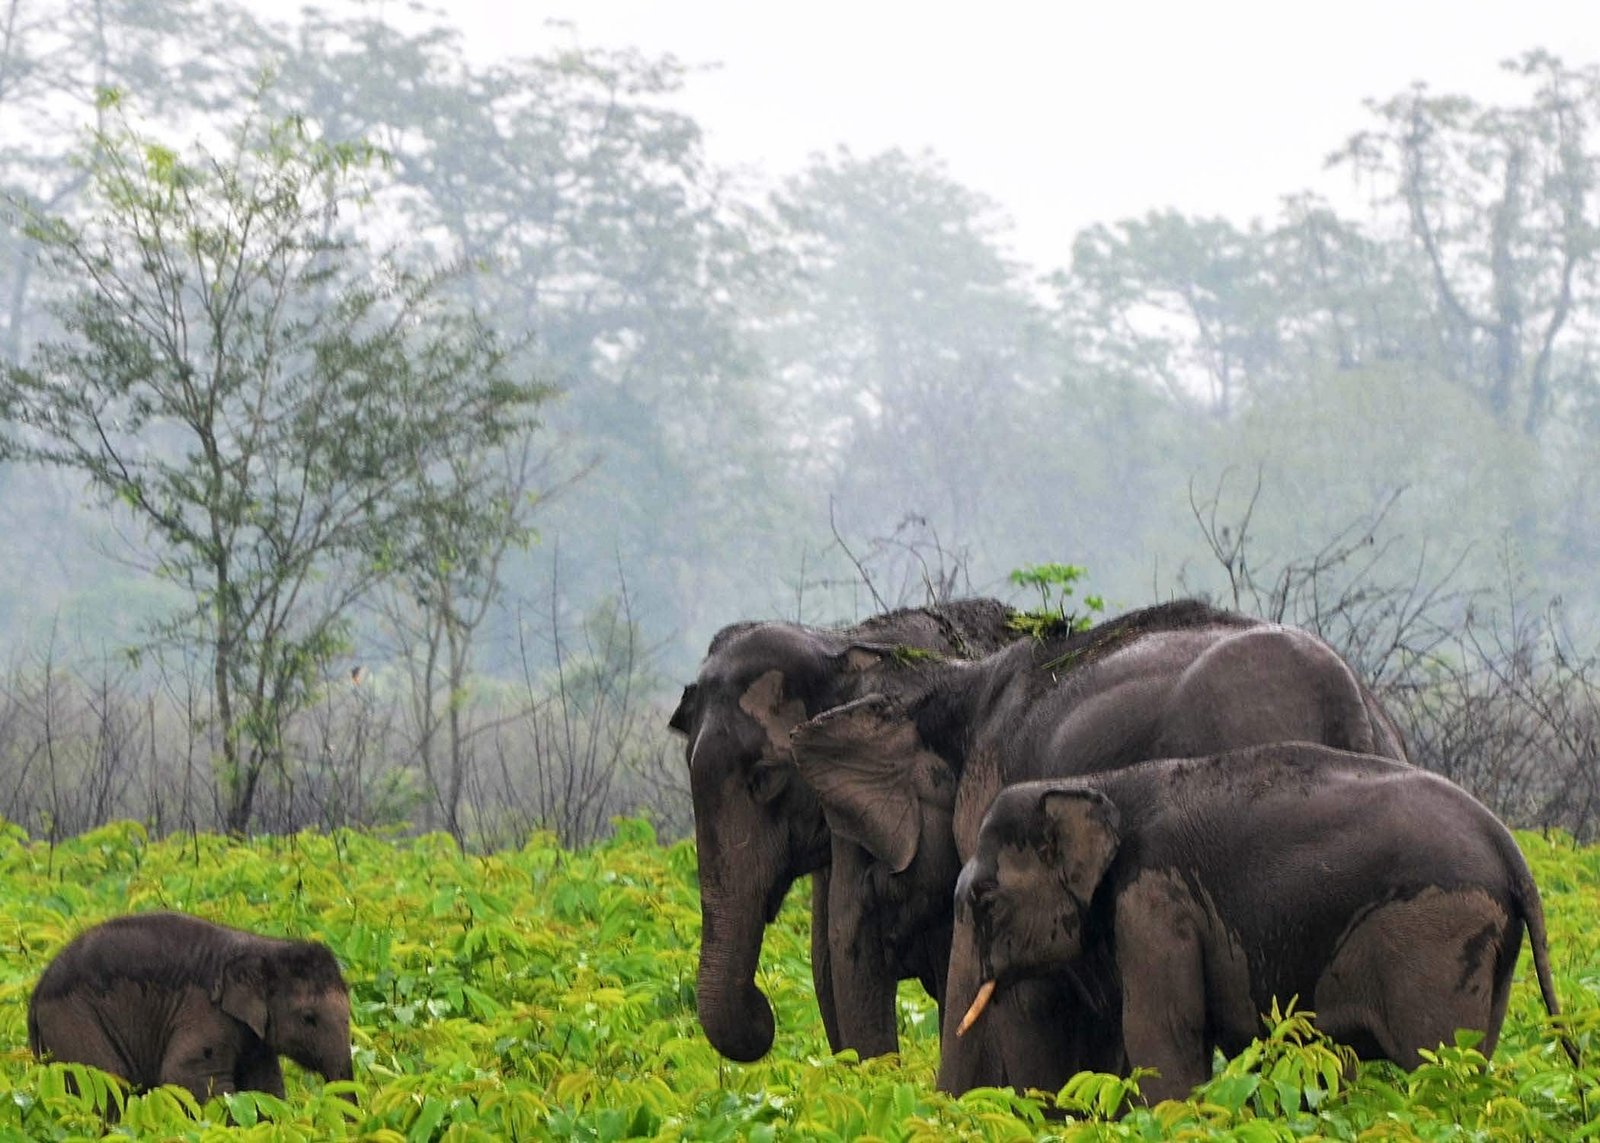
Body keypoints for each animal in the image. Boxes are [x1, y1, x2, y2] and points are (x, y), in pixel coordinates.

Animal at [27, 902, 353, 1101]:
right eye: (309, 1017)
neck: (266, 946)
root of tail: (37, 990)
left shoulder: (253, 1035)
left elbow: (265, 1087)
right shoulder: (206, 1014)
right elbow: (189, 1076)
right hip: (73, 1022)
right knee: (107, 1084)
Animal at [947, 742, 1574, 1101]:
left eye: (983, 898)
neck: (1102, 785)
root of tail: (1509, 847)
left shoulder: (1154, 900)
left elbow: (1161, 1034)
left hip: (1435, 937)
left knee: (1439, 1061)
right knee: (1476, 1054)